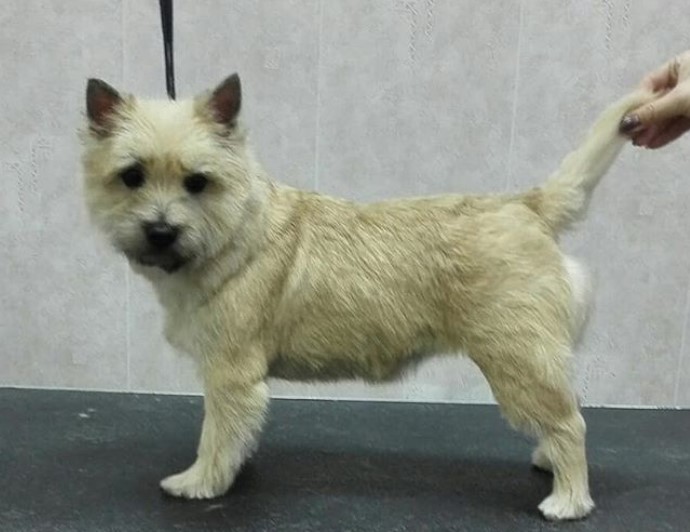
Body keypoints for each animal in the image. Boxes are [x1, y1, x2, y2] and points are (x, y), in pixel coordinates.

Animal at [79, 72, 652, 520]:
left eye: (197, 182)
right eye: (131, 176)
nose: (160, 231)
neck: (235, 231)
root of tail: (527, 206)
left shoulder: (229, 374)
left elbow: (215, 435)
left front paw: (199, 481)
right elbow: (236, 433)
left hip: (518, 359)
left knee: (570, 424)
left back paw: (568, 500)